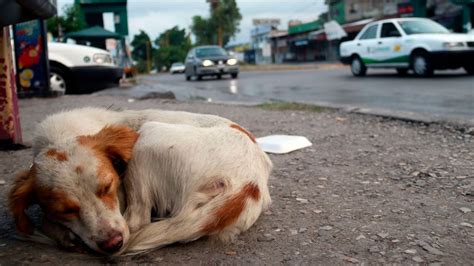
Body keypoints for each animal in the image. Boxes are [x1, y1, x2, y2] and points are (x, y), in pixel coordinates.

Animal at [9, 107, 272, 255]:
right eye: (65, 209)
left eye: (108, 186)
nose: (113, 245)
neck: (61, 136)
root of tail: (248, 182)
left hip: (147, 136)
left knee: (137, 220)